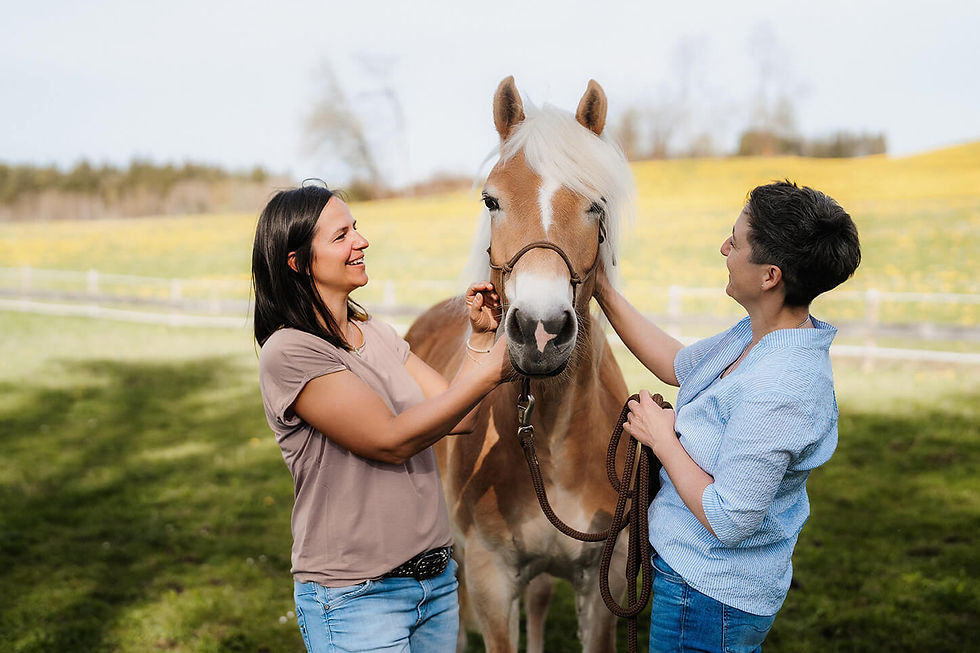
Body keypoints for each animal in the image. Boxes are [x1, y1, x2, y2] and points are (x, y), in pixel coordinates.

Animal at [405, 76, 636, 653]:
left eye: (597, 205)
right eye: (492, 200)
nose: (541, 328)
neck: (549, 440)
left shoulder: (603, 581)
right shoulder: (490, 577)